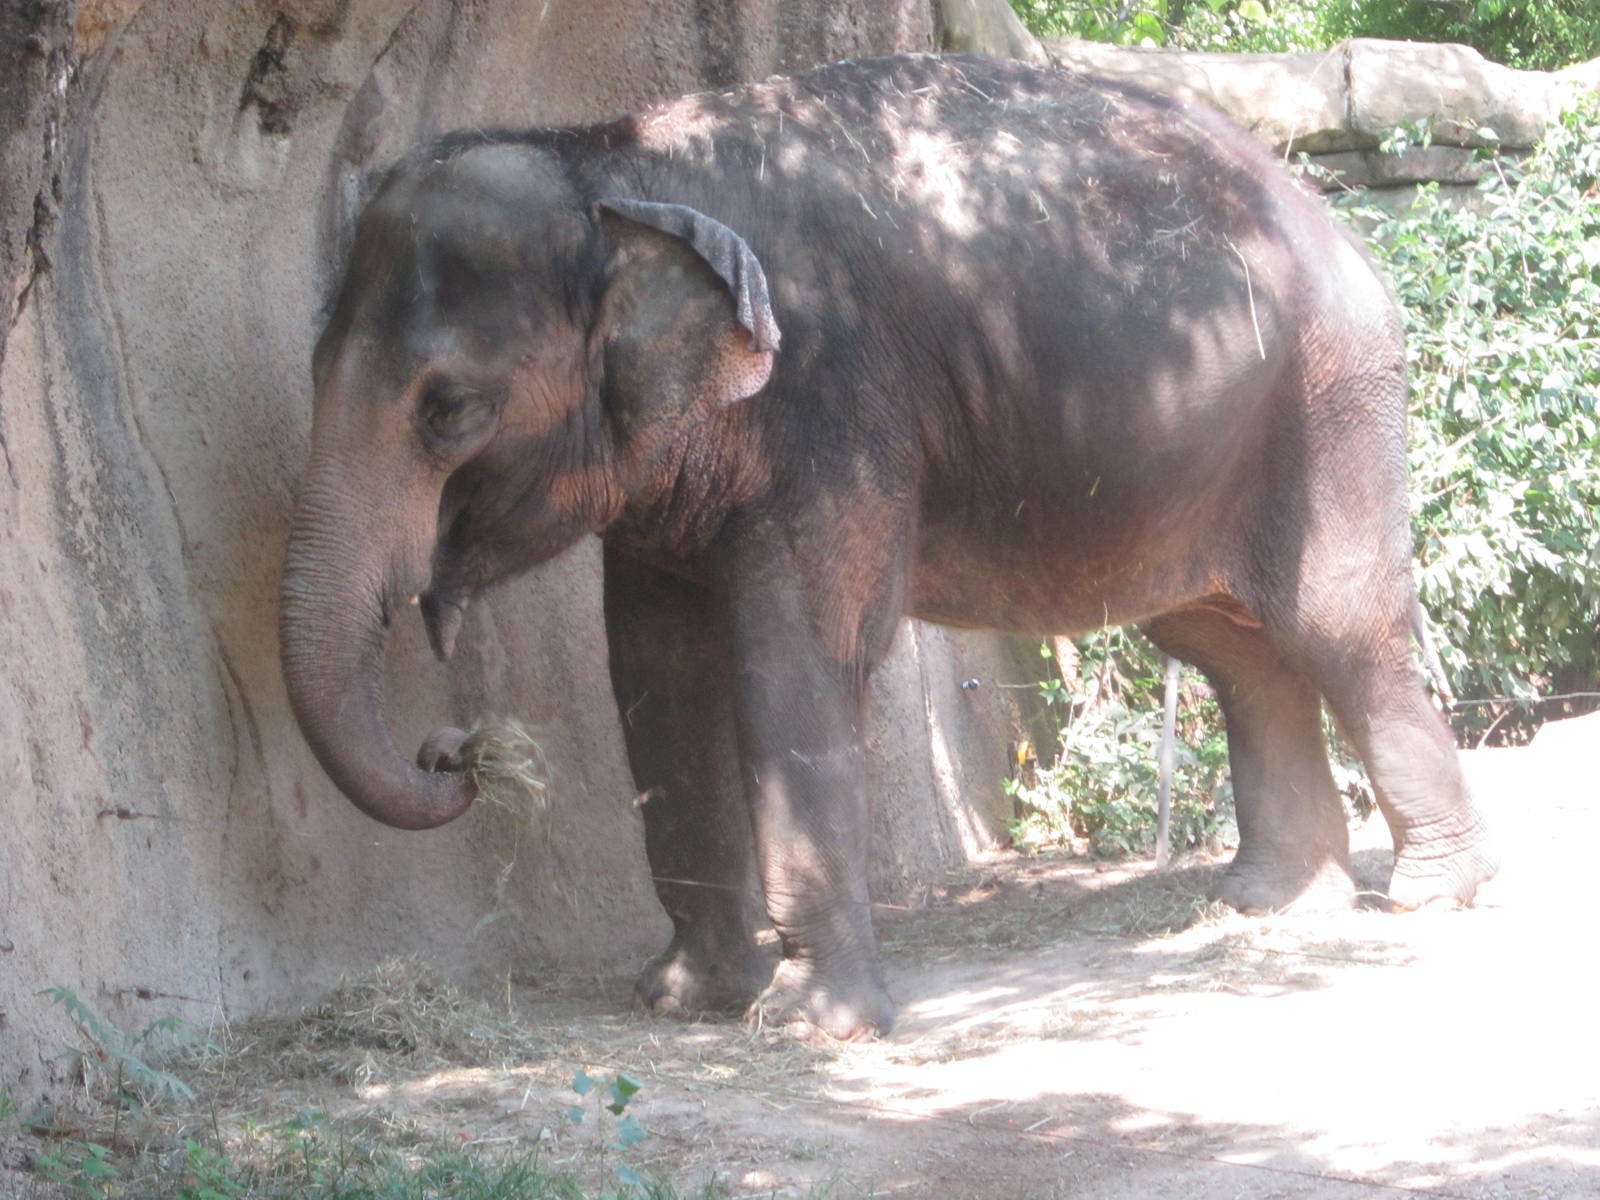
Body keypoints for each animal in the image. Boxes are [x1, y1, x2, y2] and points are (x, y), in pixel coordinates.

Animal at [281, 53, 1499, 1039]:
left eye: (449, 410)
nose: (454, 753)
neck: (610, 157)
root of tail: (1339, 225)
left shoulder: (832, 399)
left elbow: (796, 656)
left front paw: (816, 1029)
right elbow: (654, 667)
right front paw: (685, 1002)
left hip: (1330, 400)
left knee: (1333, 628)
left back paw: (1429, 895)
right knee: (1227, 647)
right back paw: (1264, 907)